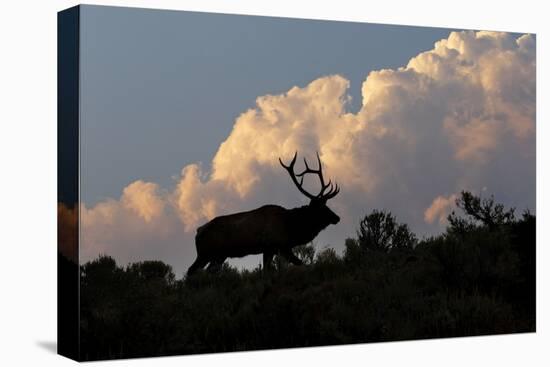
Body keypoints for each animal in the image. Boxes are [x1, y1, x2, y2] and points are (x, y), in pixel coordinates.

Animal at [187, 152, 340, 276]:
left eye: (327, 205)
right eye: (321, 207)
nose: (337, 218)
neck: (290, 226)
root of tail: (198, 231)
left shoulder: (273, 249)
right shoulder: (276, 245)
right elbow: (302, 264)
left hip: (219, 256)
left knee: (207, 271)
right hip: (205, 253)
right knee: (191, 271)